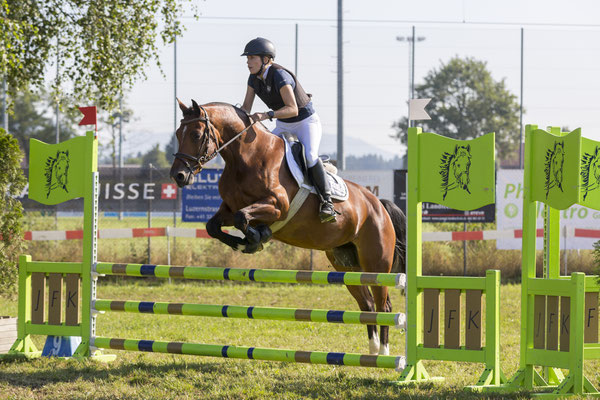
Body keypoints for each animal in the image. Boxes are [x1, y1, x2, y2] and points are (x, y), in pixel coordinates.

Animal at [171, 98, 410, 354]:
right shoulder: (228, 208)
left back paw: (384, 352)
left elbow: (242, 218)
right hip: (346, 265)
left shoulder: (277, 206)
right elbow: (214, 226)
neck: (245, 157)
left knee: (383, 306)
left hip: (376, 264)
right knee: (367, 304)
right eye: (177, 133)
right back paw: (373, 351)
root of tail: (379, 205)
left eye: (196, 134)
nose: (178, 176)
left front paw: (257, 238)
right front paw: (246, 242)